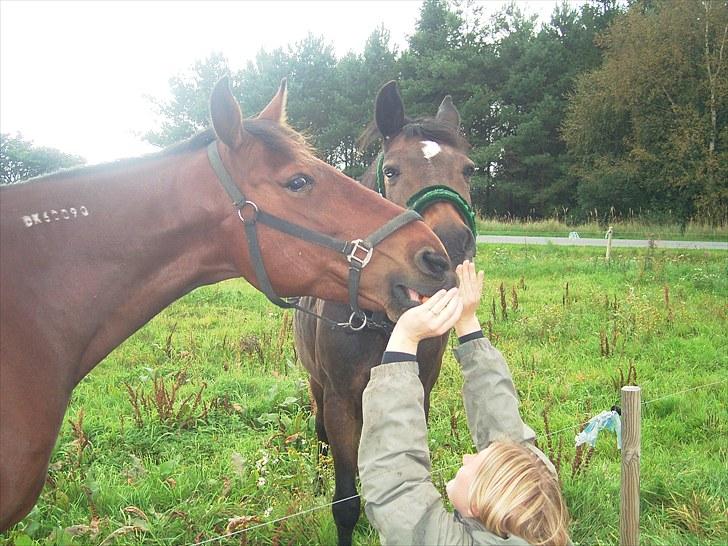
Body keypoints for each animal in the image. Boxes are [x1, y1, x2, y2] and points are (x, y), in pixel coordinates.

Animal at [292, 81, 474, 544]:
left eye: (467, 169)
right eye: (391, 170)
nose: (450, 243)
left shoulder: (420, 389)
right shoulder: (339, 399)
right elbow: (344, 502)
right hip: (316, 385)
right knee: (319, 432)